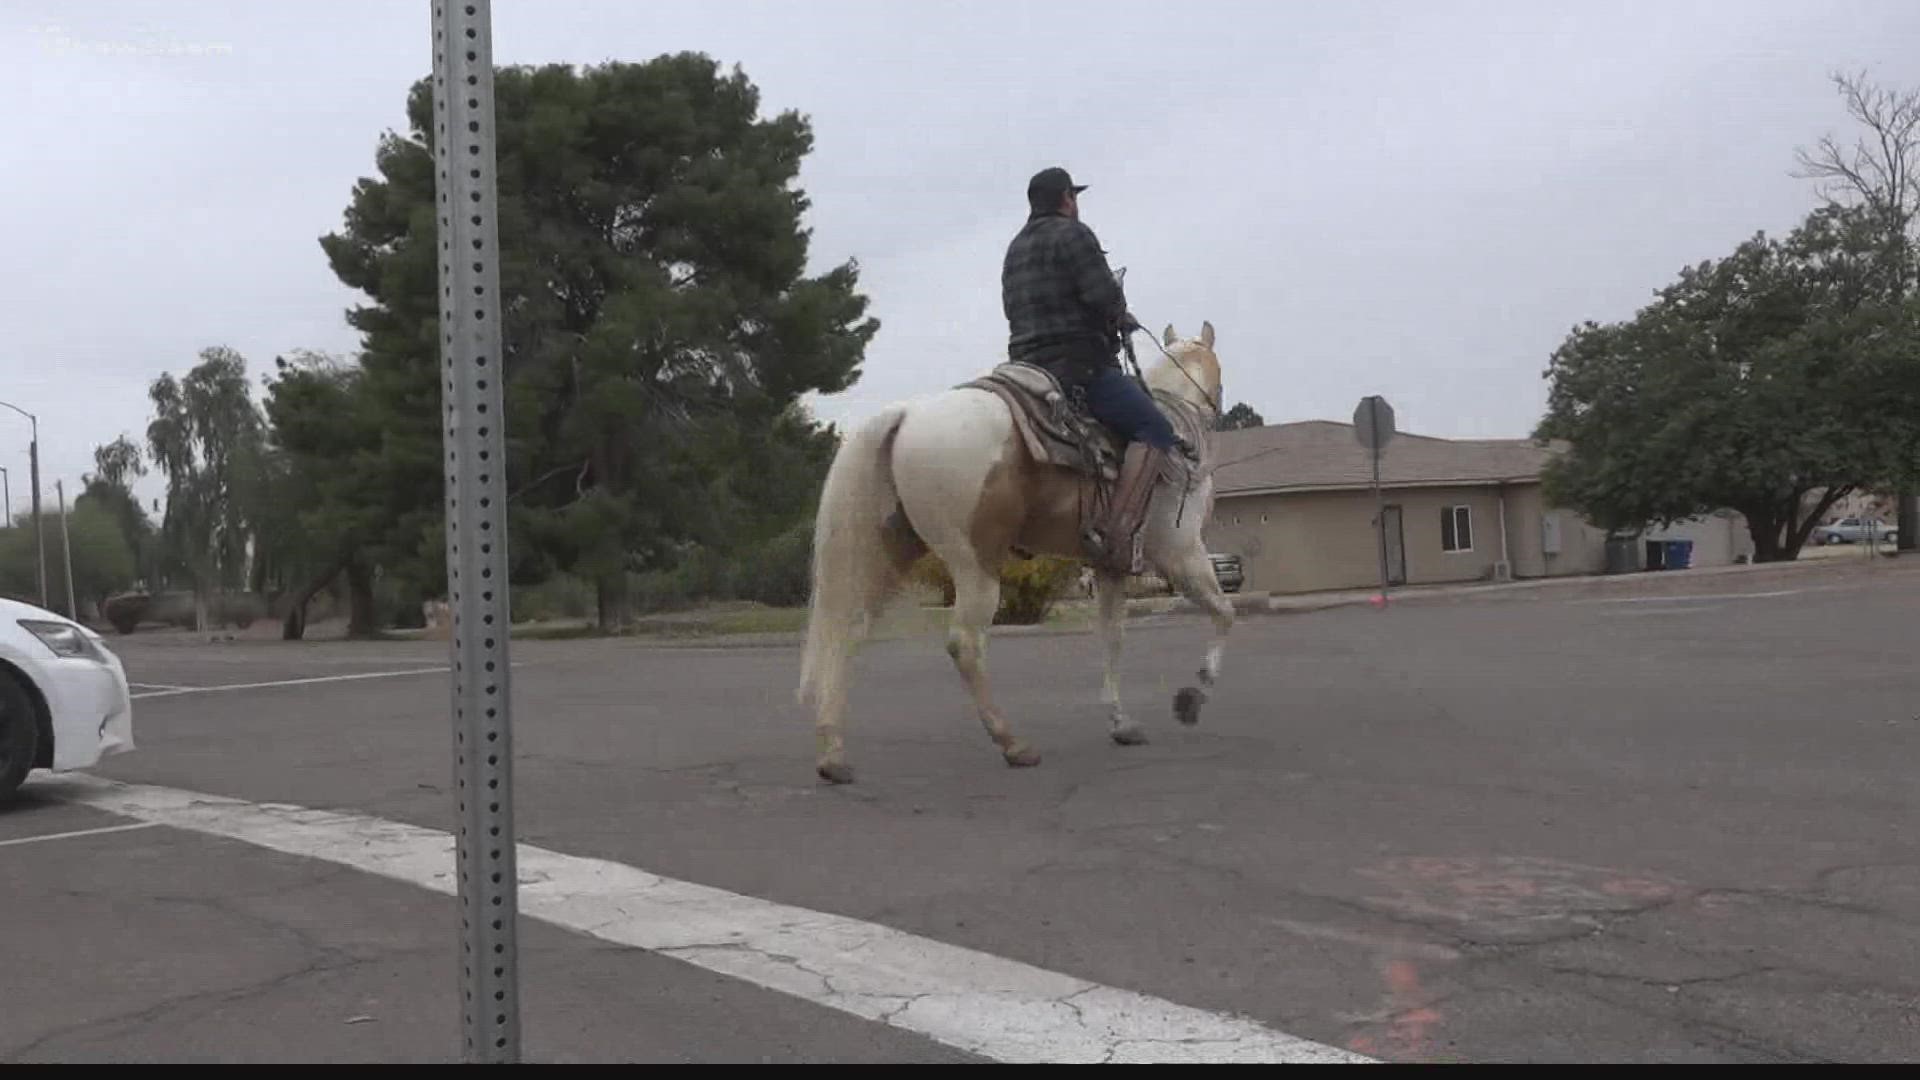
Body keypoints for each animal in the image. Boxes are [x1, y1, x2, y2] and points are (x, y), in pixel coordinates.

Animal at [794, 319, 1228, 780]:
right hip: (976, 564)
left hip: (891, 554)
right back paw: (1013, 743)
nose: (1215, 408)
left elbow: (1113, 638)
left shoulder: (1109, 567)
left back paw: (833, 753)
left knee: (850, 631)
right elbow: (1225, 614)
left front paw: (1121, 722)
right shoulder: (1183, 553)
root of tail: (908, 414)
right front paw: (1194, 696)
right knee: (965, 644)